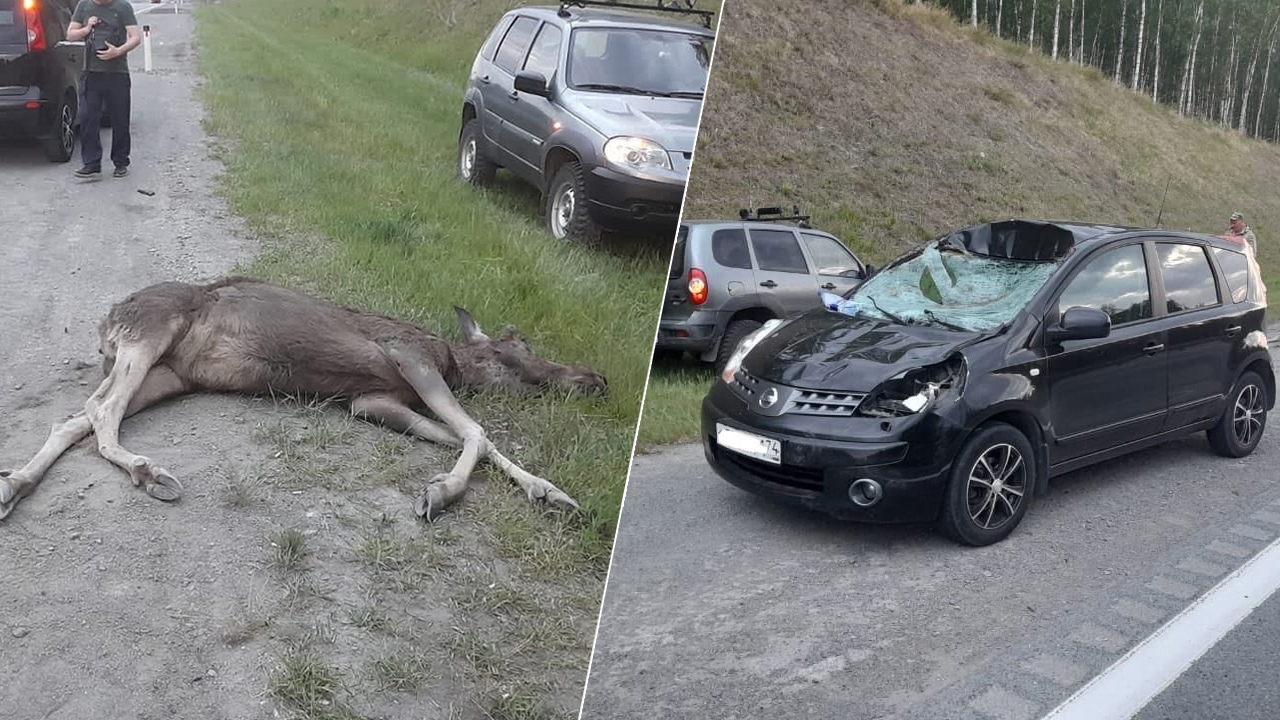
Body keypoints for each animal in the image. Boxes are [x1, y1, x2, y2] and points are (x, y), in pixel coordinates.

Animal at [0, 274, 606, 515]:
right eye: (512, 356)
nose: (594, 380)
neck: (454, 361)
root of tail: (105, 325)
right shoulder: (410, 357)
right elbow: (477, 430)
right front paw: (443, 493)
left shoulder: (373, 401)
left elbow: (462, 437)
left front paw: (550, 492)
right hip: (150, 335)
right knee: (101, 410)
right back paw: (149, 473)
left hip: (166, 373)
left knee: (74, 418)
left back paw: (15, 484)